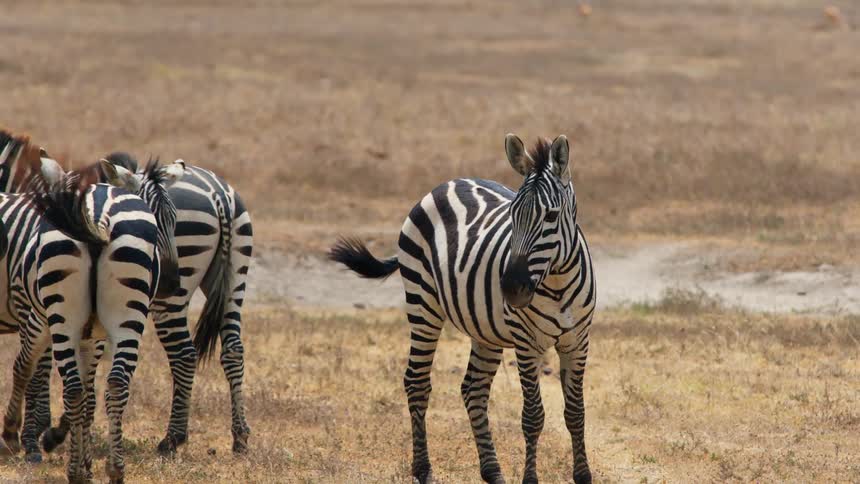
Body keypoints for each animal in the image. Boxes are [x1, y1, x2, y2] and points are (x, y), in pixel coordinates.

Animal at [0, 130, 160, 483]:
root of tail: (96, 216)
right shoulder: (90, 335)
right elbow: (86, 396)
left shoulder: (38, 317)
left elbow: (26, 367)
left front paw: (15, 435)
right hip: (127, 315)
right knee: (115, 384)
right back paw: (114, 469)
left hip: (63, 317)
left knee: (72, 387)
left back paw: (74, 470)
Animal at [35, 152, 254, 455]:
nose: (171, 281)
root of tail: (220, 195)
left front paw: (51, 431)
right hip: (235, 278)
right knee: (233, 349)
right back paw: (239, 437)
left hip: (168, 300)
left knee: (184, 354)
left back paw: (172, 438)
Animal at [330, 134, 596, 484]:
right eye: (512, 215)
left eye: (551, 216)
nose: (511, 288)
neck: (557, 283)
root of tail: (448, 183)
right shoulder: (527, 344)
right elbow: (533, 416)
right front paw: (530, 479)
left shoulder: (577, 342)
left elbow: (576, 413)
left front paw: (583, 476)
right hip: (423, 305)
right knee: (417, 383)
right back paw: (424, 471)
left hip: (485, 330)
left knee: (474, 390)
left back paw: (493, 473)